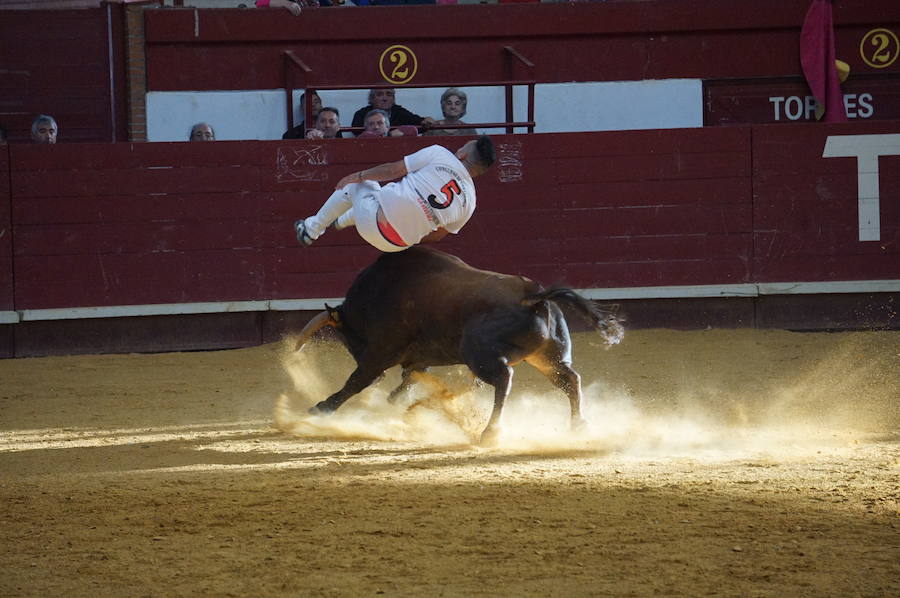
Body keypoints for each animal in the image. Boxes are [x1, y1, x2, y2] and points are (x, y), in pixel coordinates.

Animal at [296, 245, 624, 446]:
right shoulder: (415, 357)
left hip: (478, 354)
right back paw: (578, 425)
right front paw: (399, 401)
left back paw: (490, 432)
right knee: (570, 380)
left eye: (349, 339)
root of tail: (534, 297)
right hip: (547, 358)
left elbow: (355, 381)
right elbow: (409, 377)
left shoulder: (379, 353)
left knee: (504, 379)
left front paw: (321, 408)